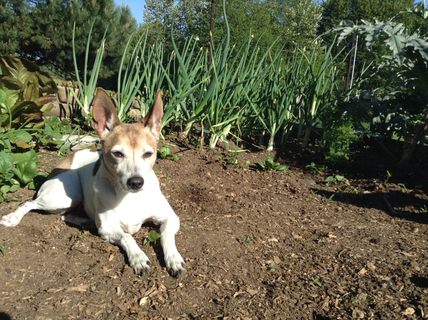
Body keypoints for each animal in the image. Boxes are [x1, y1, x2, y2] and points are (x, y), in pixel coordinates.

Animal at [0, 88, 186, 278]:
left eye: (148, 154)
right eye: (117, 154)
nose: (136, 182)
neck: (129, 197)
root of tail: (65, 160)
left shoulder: (171, 217)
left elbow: (166, 235)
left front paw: (174, 258)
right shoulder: (107, 228)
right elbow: (127, 236)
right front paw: (138, 257)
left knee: (64, 215)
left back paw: (85, 222)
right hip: (65, 196)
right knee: (30, 203)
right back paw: (12, 218)